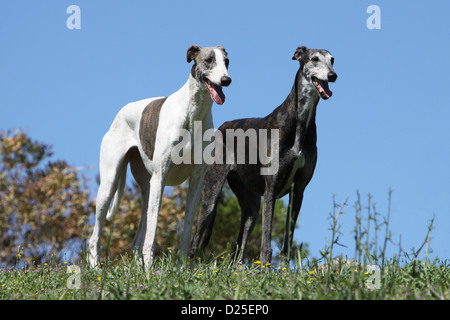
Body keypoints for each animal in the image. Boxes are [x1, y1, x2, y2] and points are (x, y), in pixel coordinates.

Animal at [189, 46, 338, 264]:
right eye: (315, 59)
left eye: (332, 60)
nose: (333, 76)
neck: (299, 122)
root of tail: (221, 128)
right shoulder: (271, 189)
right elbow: (266, 242)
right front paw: (266, 266)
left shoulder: (298, 191)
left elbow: (287, 241)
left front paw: (284, 268)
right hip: (212, 191)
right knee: (196, 238)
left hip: (250, 203)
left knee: (239, 245)